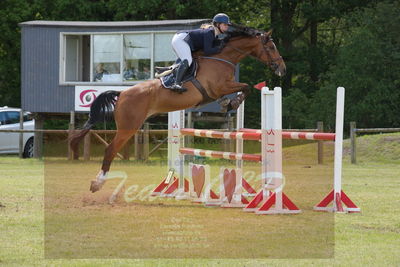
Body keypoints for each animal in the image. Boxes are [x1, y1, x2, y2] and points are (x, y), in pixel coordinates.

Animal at [70, 26, 286, 194]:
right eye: (271, 47)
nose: (282, 69)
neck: (222, 57)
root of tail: (122, 94)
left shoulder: (219, 90)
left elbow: (241, 89)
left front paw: (228, 103)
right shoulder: (219, 86)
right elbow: (246, 87)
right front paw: (233, 102)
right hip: (128, 127)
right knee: (110, 149)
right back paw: (97, 183)